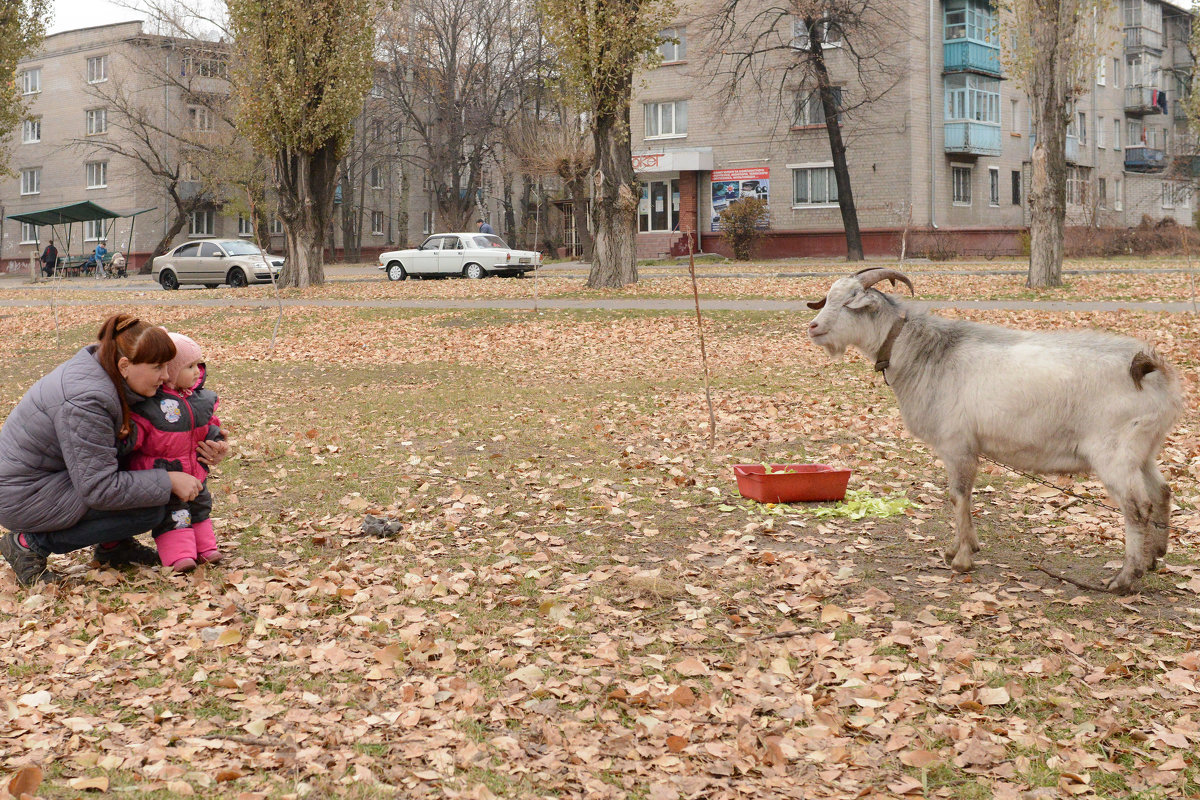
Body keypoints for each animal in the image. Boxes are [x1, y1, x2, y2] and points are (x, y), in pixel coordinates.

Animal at [806, 268, 1180, 594]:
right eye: (828, 297)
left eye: (849, 301)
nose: (813, 327)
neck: (924, 354)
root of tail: (1148, 367)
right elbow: (961, 496)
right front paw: (962, 547)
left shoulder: (956, 444)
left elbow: (959, 495)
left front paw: (961, 560)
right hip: (1143, 450)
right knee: (1162, 492)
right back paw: (1153, 558)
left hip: (1114, 452)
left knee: (1137, 507)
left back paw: (1124, 579)